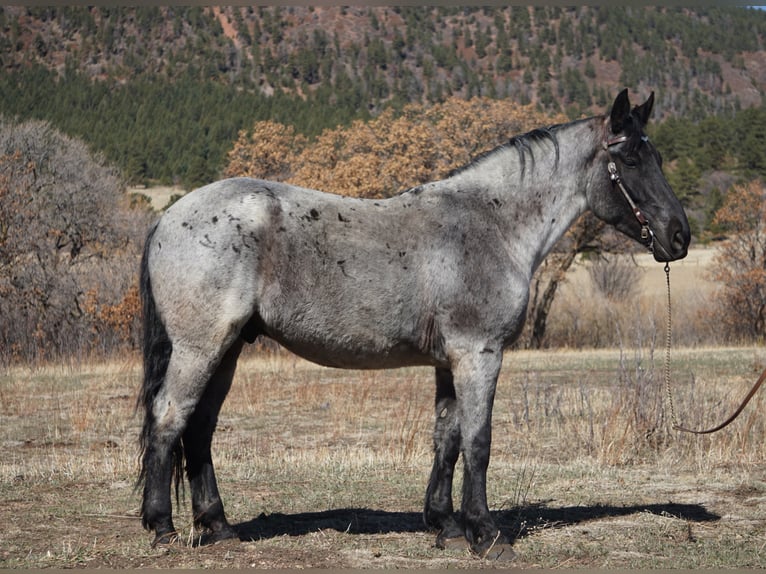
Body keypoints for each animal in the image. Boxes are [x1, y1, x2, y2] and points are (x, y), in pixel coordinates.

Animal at [140, 88, 696, 560]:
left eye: (657, 157)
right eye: (629, 160)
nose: (680, 236)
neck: (492, 224)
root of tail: (169, 217)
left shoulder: (450, 362)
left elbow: (447, 437)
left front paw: (446, 525)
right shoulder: (479, 354)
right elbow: (478, 440)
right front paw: (487, 534)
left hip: (228, 349)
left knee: (200, 429)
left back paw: (219, 527)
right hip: (200, 347)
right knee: (169, 417)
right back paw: (162, 528)